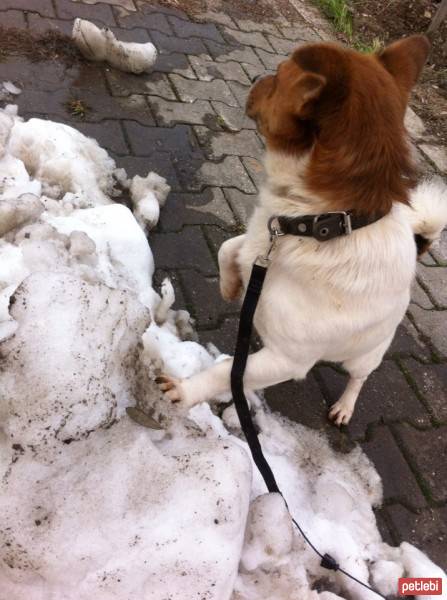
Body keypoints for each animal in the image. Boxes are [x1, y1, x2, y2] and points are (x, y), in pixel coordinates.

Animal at [157, 34, 447, 426]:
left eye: (279, 76)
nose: (256, 79)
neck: (323, 224)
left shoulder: (287, 360)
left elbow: (225, 371)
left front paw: (186, 391)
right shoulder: (258, 245)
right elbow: (229, 248)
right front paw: (230, 285)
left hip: (365, 355)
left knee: (359, 378)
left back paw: (345, 406)